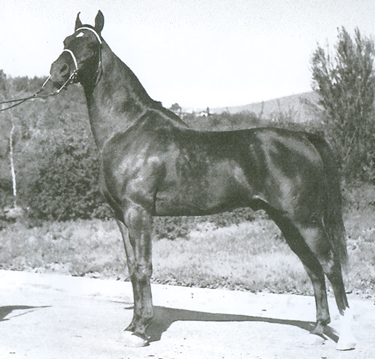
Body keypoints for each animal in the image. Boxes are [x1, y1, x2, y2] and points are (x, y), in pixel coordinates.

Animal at [48, 11, 356, 352]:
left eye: (90, 45)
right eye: (66, 41)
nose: (57, 72)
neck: (127, 129)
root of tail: (304, 137)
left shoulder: (139, 213)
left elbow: (143, 268)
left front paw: (142, 330)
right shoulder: (121, 216)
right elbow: (132, 268)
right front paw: (132, 326)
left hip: (305, 220)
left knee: (329, 264)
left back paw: (345, 335)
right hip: (286, 221)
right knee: (312, 267)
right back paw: (319, 328)